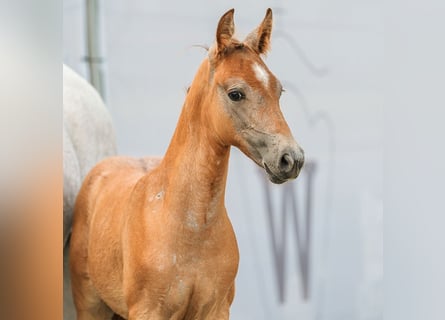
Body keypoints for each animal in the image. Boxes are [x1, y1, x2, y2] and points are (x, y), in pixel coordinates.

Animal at [69, 8, 304, 318]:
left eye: (279, 90)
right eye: (236, 93)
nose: (291, 158)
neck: (191, 230)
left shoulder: (216, 309)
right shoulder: (147, 311)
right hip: (90, 305)